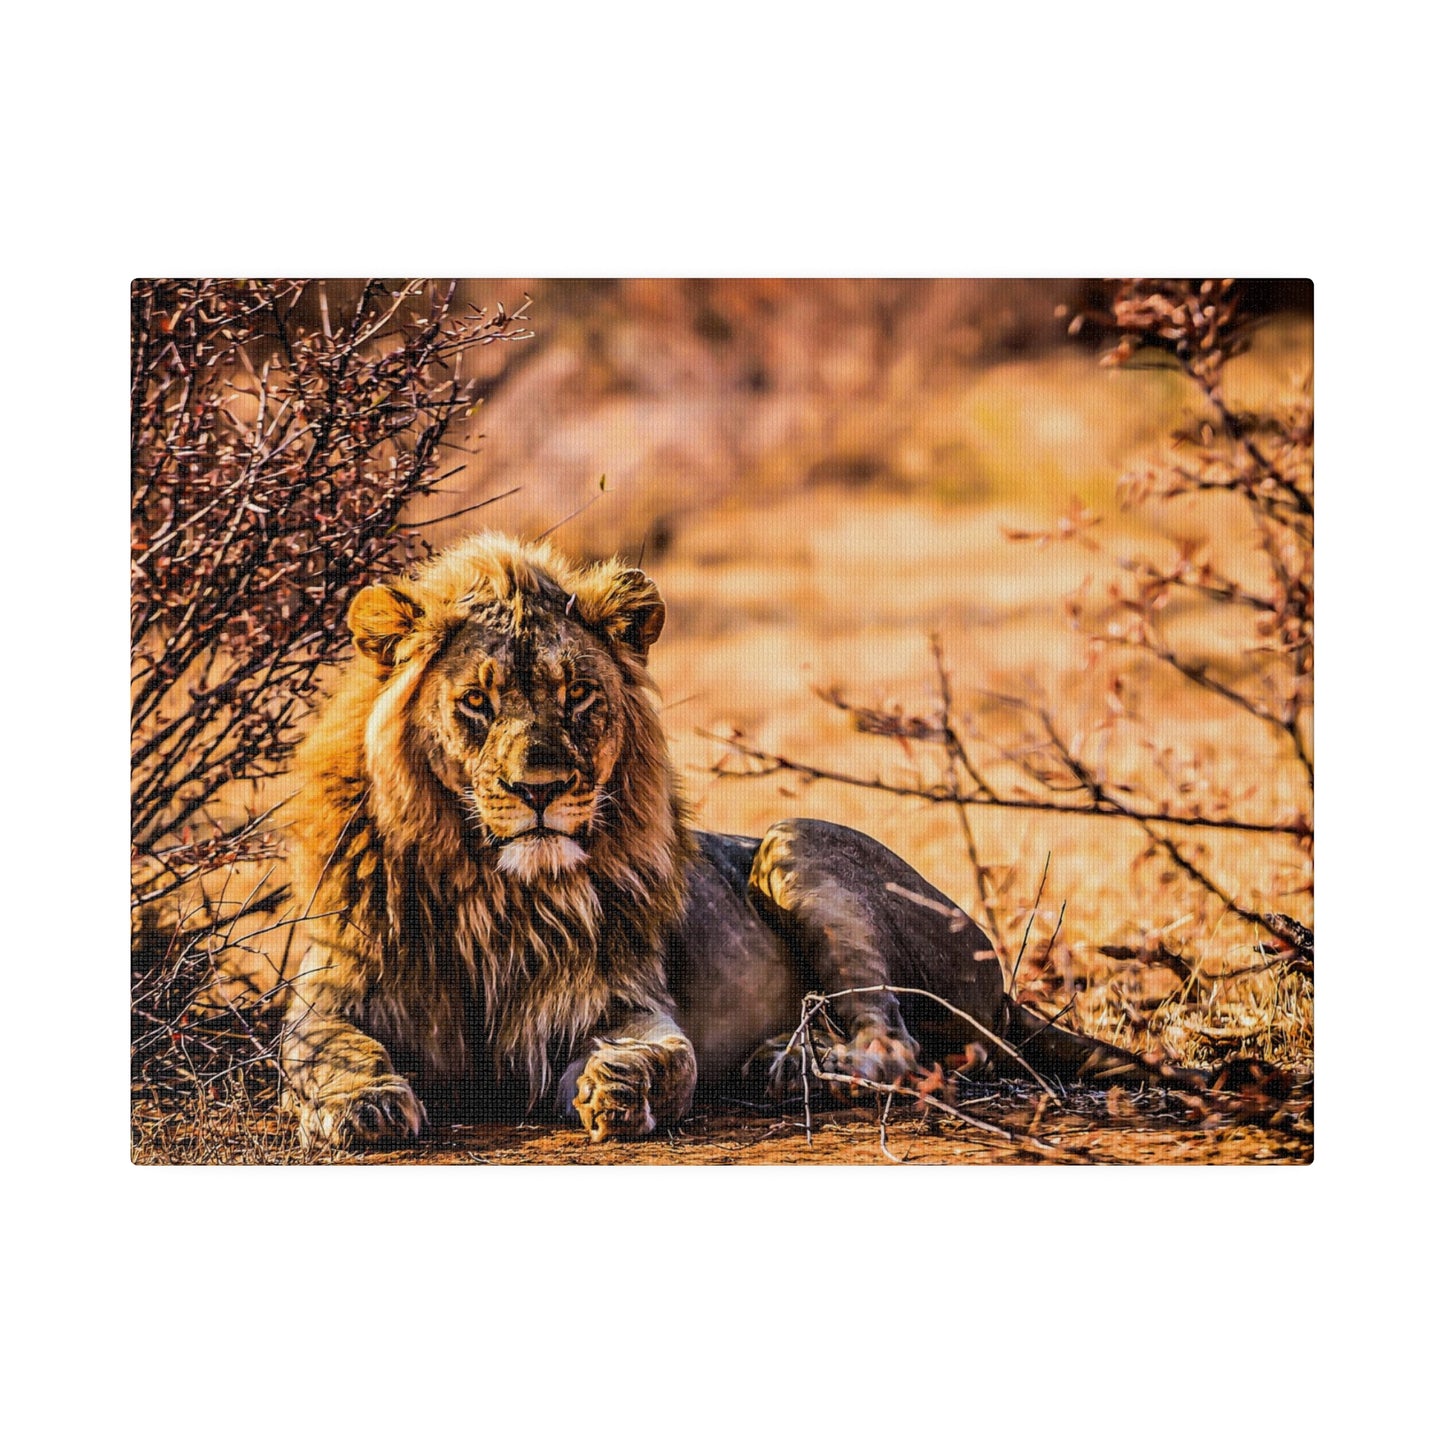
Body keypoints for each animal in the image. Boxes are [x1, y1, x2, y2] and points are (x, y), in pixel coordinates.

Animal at [275, 525, 1202, 1144]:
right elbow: (325, 1051)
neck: (491, 889)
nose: (542, 790)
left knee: (897, 1044)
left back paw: (788, 1066)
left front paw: (619, 1089)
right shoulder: (329, 996)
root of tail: (1004, 984)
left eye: (578, 697)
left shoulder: (623, 1003)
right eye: (476, 700)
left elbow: (668, 1056)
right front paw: (362, 1104)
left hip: (798, 845)